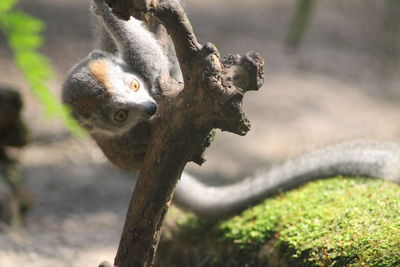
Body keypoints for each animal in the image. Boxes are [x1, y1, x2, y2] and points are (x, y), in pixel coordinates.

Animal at [63, 0, 400, 223]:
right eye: (120, 115)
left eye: (133, 86)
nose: (148, 107)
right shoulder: (144, 117)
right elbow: (155, 70)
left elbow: (112, 44)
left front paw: (105, 10)